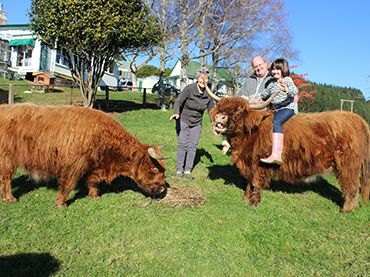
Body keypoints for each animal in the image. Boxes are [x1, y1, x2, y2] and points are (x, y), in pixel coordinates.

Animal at [0, 103, 166, 207]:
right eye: (154, 169)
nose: (161, 189)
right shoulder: (75, 164)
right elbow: (69, 183)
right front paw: (61, 203)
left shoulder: (95, 165)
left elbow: (93, 181)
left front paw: (94, 196)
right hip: (7, 158)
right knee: (6, 178)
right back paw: (9, 198)